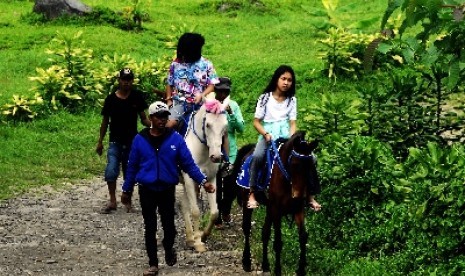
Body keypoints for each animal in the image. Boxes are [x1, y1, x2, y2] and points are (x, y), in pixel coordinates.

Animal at [178, 97, 228, 252]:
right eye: (208, 125)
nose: (216, 157)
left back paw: (190, 238)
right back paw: (192, 239)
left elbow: (214, 212)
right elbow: (195, 211)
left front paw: (204, 236)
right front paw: (198, 243)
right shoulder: (189, 178)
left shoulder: (211, 179)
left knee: (183, 205)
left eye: (225, 126)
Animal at [234, 132, 320, 276]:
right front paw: (278, 270)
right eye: (294, 164)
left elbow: (303, 237)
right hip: (248, 202)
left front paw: (301, 270)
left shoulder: (297, 209)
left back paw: (265, 265)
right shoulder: (277, 210)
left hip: (269, 208)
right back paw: (246, 262)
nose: (299, 195)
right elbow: (278, 242)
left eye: (312, 164)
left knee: (265, 233)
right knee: (246, 228)